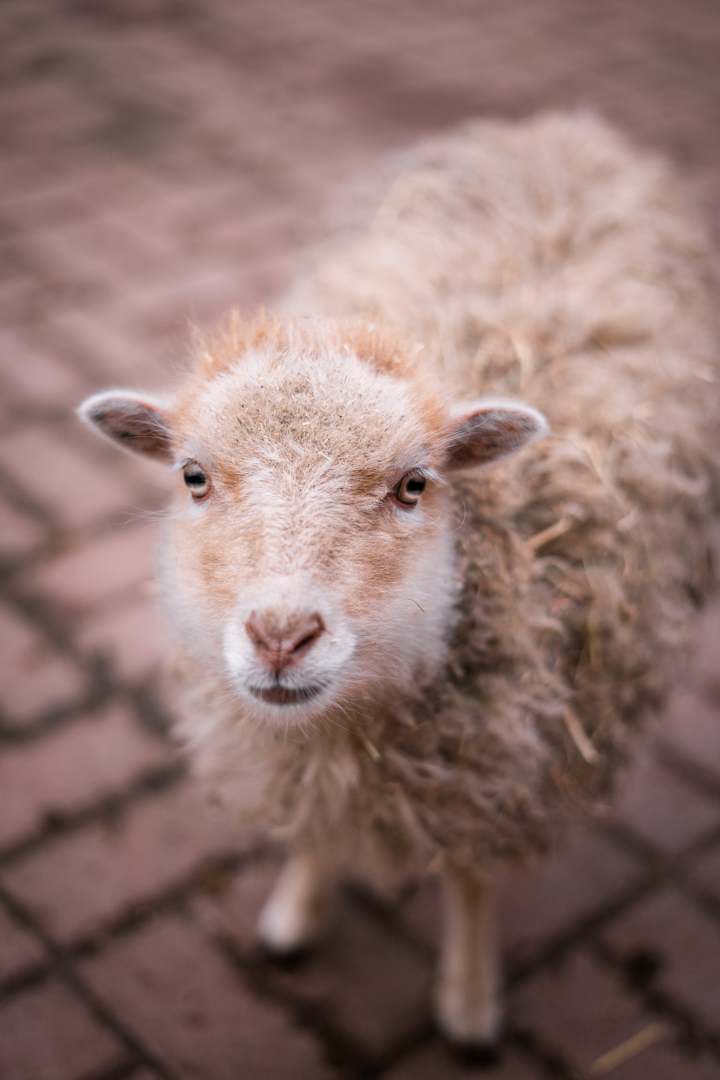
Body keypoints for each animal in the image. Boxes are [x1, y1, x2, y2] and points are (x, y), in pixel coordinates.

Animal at [78, 112, 720, 1047]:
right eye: (193, 477)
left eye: (414, 485)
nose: (281, 636)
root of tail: (557, 126)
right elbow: (316, 835)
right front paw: (298, 910)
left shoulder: (501, 777)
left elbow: (471, 880)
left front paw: (469, 1000)